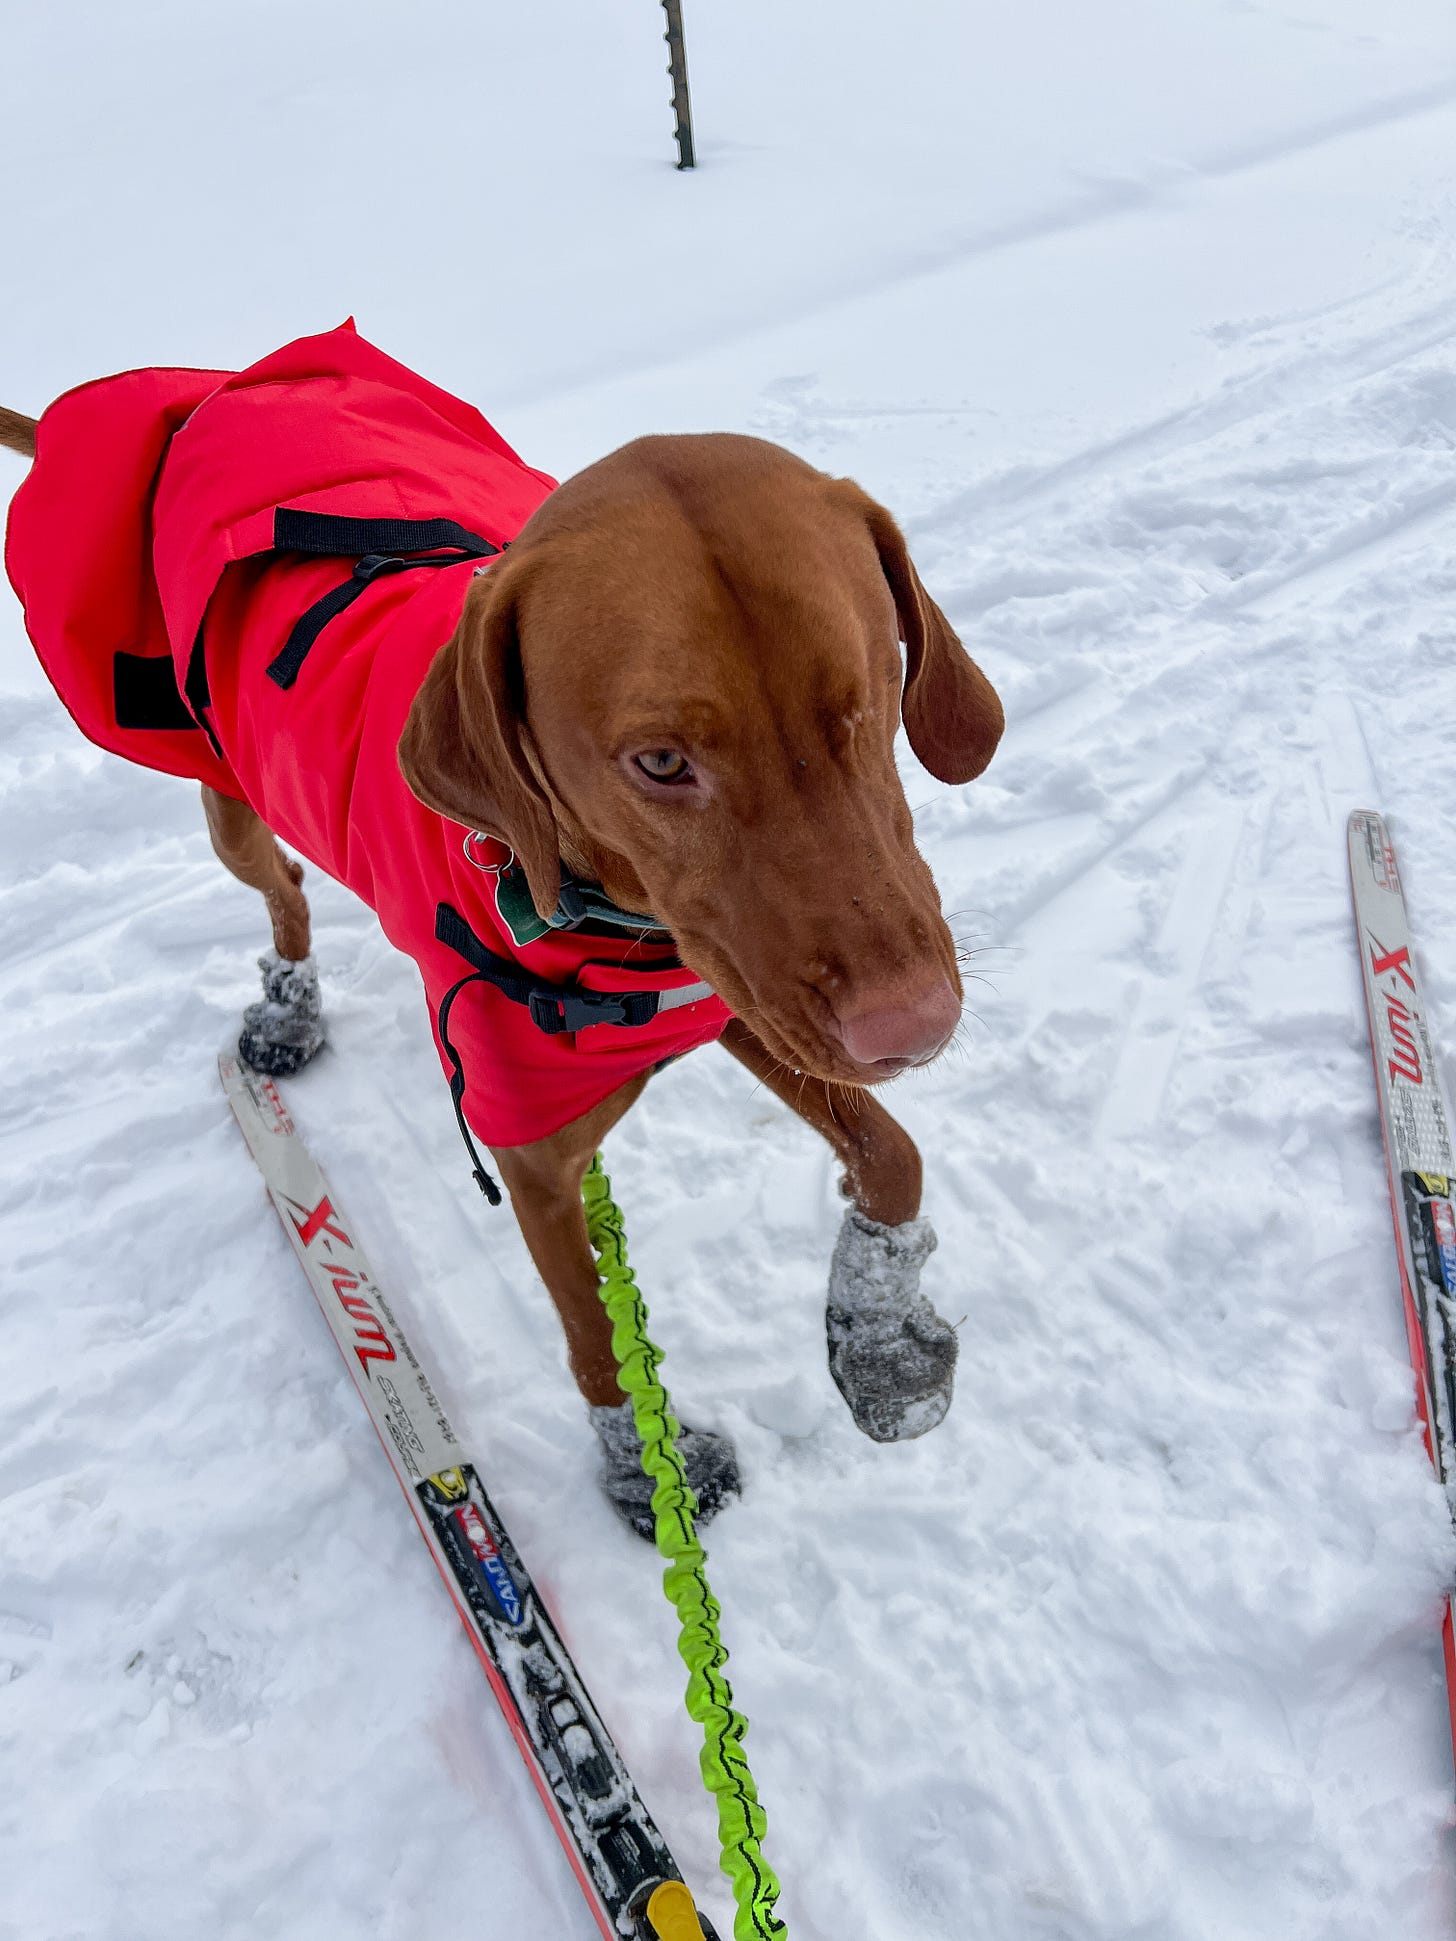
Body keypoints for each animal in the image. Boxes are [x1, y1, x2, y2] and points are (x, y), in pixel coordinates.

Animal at [0, 337, 1001, 1545]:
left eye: (871, 690)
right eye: (660, 763)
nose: (915, 1024)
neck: (605, 913)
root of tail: (208, 397)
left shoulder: (730, 993)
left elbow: (892, 1154)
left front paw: (882, 1336)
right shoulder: (541, 1159)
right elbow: (597, 1346)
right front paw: (648, 1474)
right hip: (226, 797)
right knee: (282, 888)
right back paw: (287, 1011)